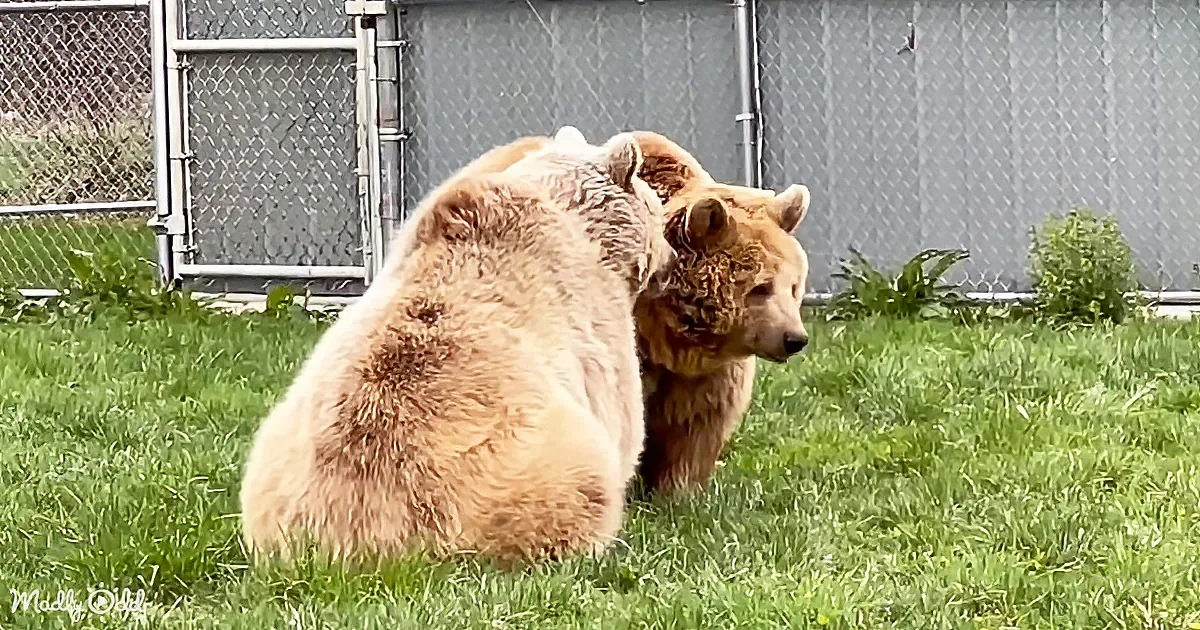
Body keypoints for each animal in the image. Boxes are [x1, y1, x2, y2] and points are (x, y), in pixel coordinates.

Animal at [238, 127, 676, 565]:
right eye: (658, 209)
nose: (671, 260)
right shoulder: (594, 319)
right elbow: (623, 416)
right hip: (525, 474)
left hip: (273, 460)